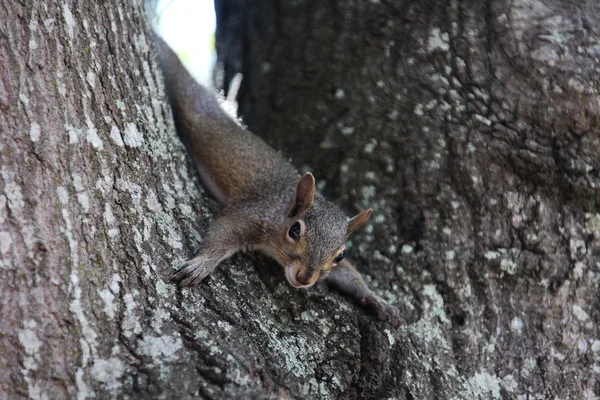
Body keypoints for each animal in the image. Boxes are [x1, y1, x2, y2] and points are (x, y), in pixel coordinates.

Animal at [154, 33, 404, 328]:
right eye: (294, 231)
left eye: (340, 254)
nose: (305, 278)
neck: (282, 208)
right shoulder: (251, 213)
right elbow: (222, 232)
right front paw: (202, 263)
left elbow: (350, 276)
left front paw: (377, 300)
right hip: (189, 100)